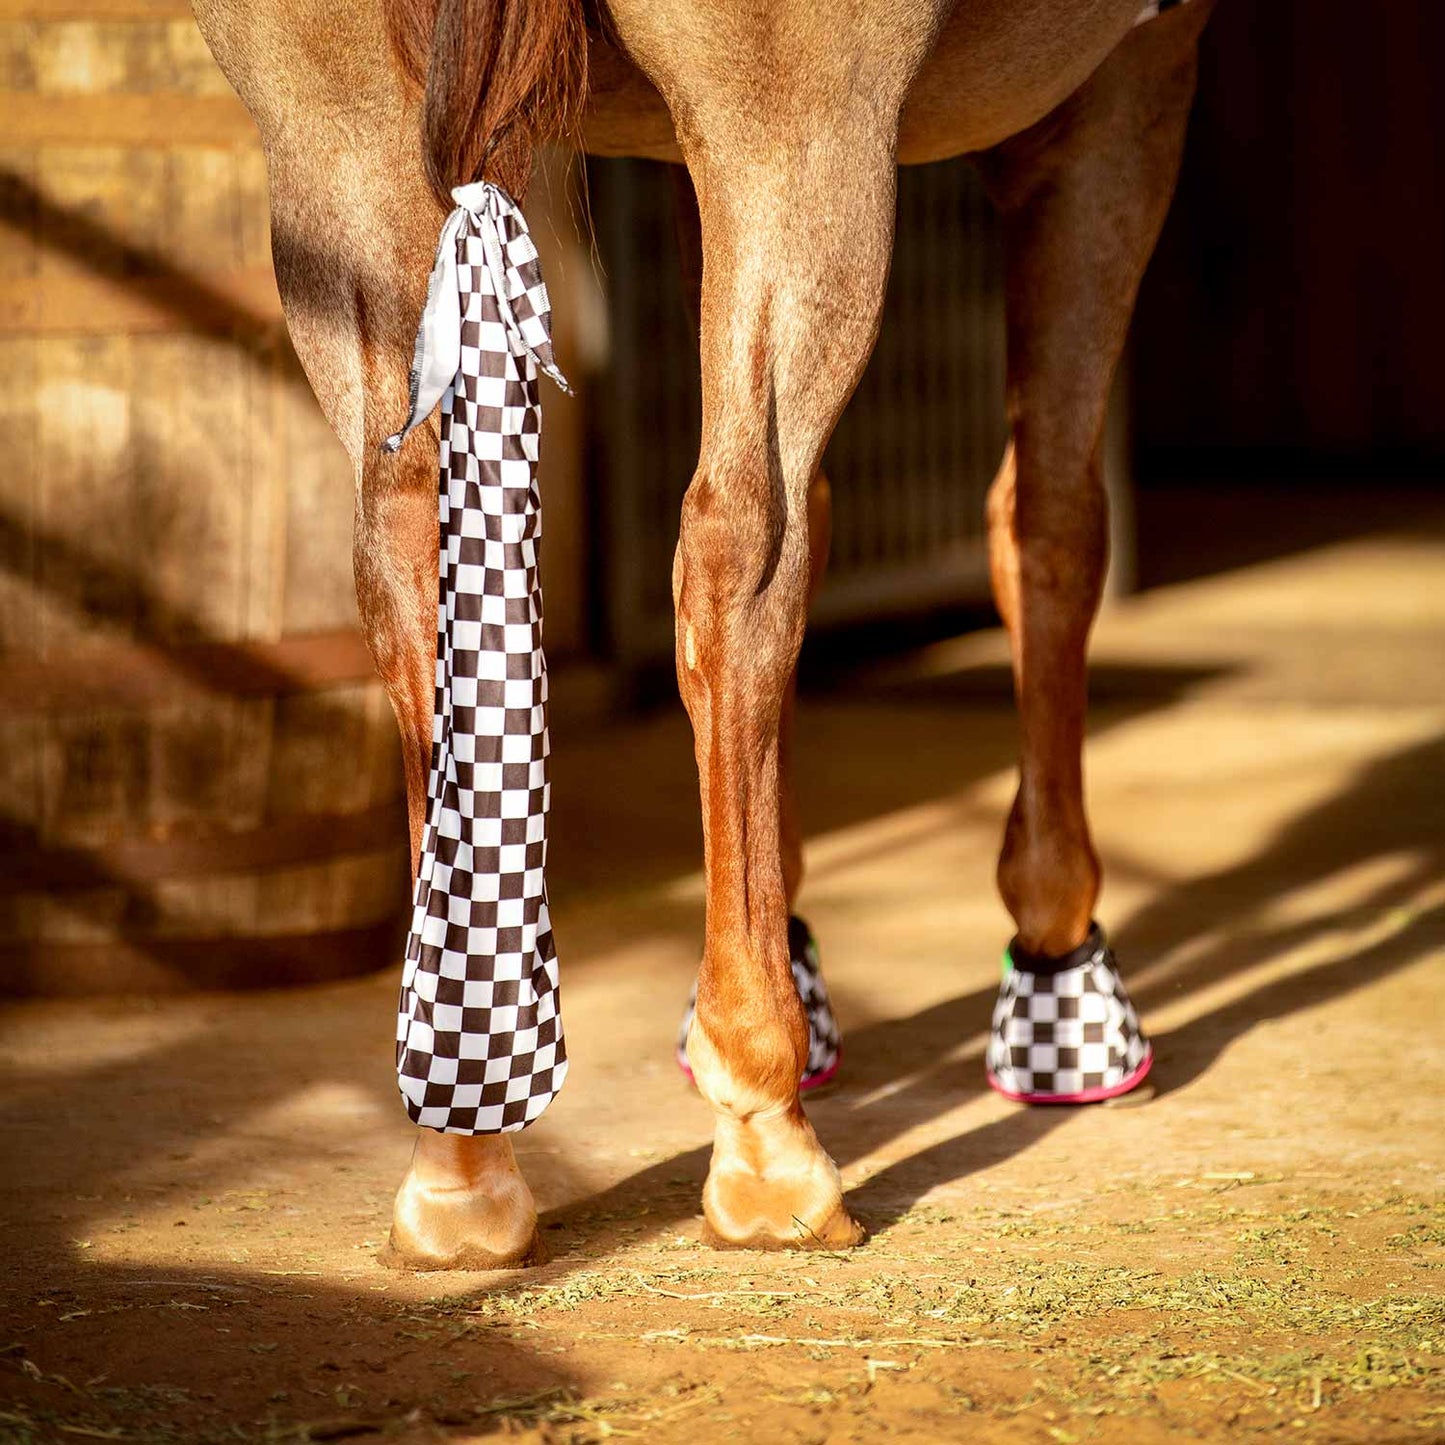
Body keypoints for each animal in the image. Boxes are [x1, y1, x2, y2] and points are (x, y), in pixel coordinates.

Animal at [190, 0, 1215, 1268]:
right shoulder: (1119, 85)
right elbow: (1048, 526)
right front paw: (1056, 964)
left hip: (332, 144)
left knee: (405, 549)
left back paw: (460, 1158)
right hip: (797, 134)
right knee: (737, 553)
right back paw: (766, 1131)